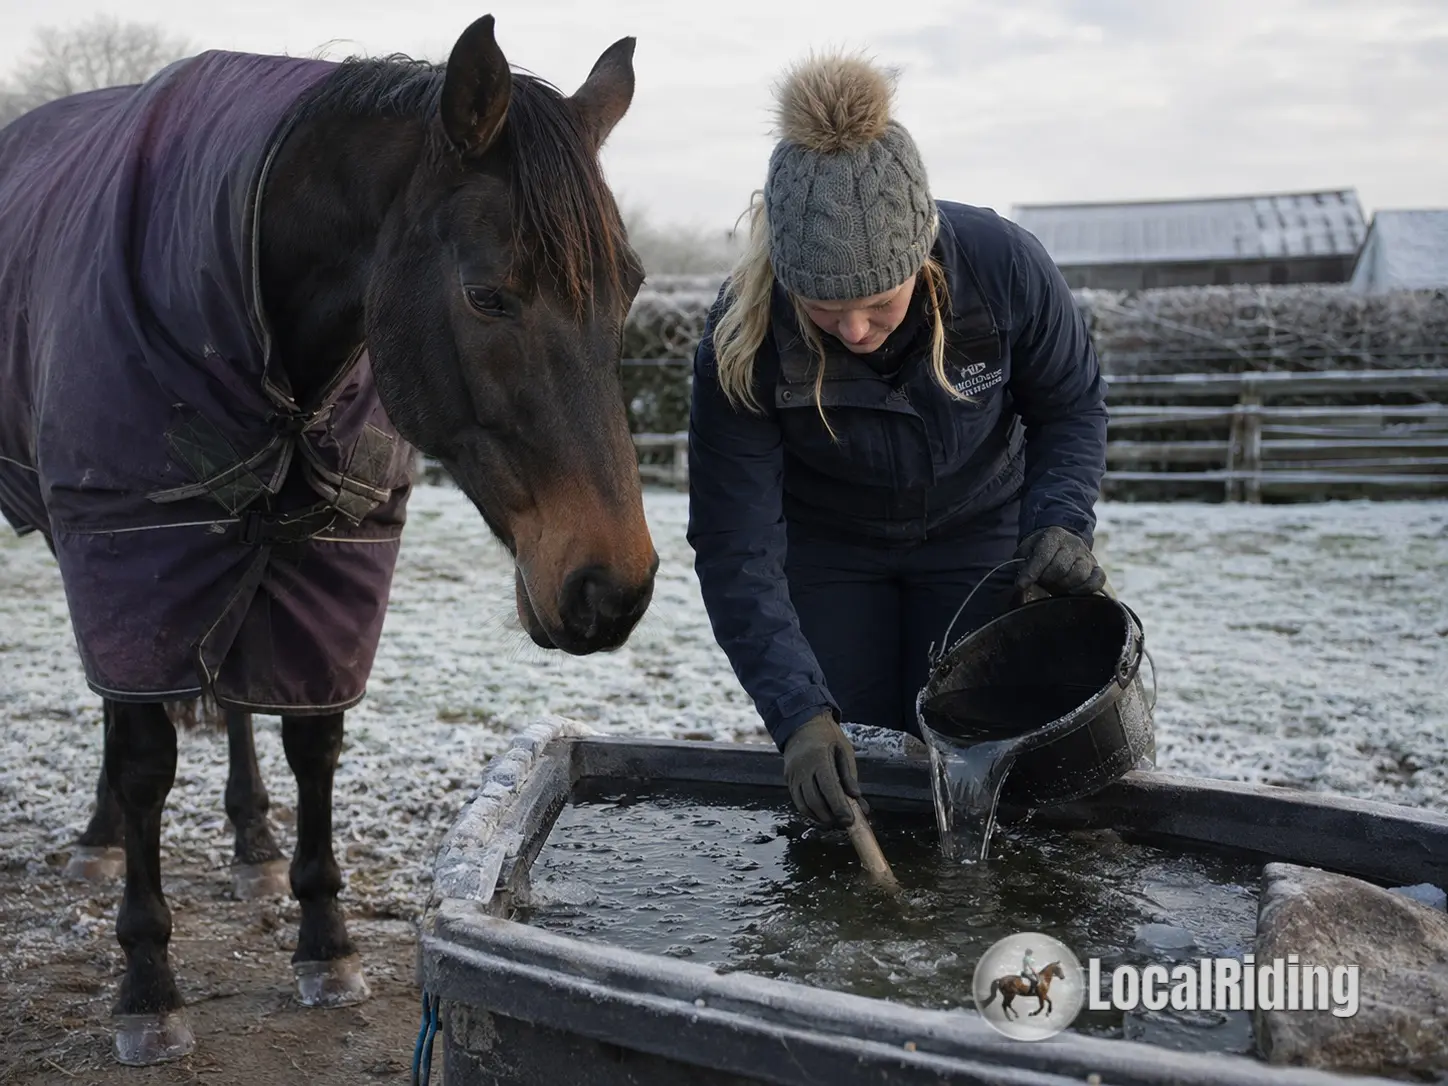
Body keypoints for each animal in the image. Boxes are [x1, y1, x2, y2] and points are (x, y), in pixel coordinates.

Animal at [0, 14, 656, 1065]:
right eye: (488, 296)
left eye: (630, 290)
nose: (614, 587)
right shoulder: (131, 536)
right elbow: (144, 756)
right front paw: (147, 983)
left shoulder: (331, 552)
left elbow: (312, 736)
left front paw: (324, 937)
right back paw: (104, 838)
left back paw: (252, 843)